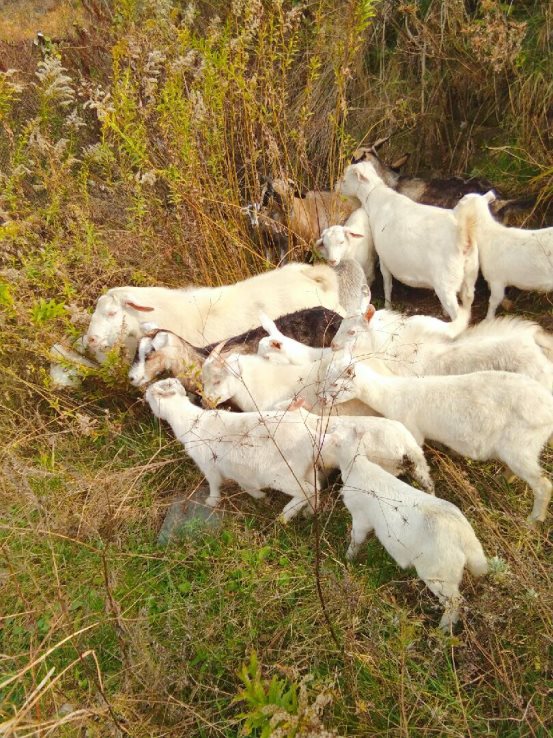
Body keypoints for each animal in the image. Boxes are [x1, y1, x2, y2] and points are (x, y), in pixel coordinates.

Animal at [320, 352, 552, 520]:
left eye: (335, 384)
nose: (321, 399)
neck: (391, 394)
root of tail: (548, 405)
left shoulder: (412, 432)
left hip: (522, 443)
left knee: (543, 484)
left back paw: (533, 521)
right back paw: (502, 480)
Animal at [322, 426, 486, 628]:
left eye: (332, 436)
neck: (358, 466)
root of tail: (464, 535)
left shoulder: (361, 518)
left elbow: (356, 541)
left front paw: (347, 559)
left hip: (438, 575)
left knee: (455, 602)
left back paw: (442, 629)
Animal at [338, 162, 476, 318]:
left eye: (345, 179)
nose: (337, 188)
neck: (376, 198)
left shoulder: (384, 258)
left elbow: (387, 284)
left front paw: (387, 306)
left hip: (446, 284)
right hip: (469, 278)